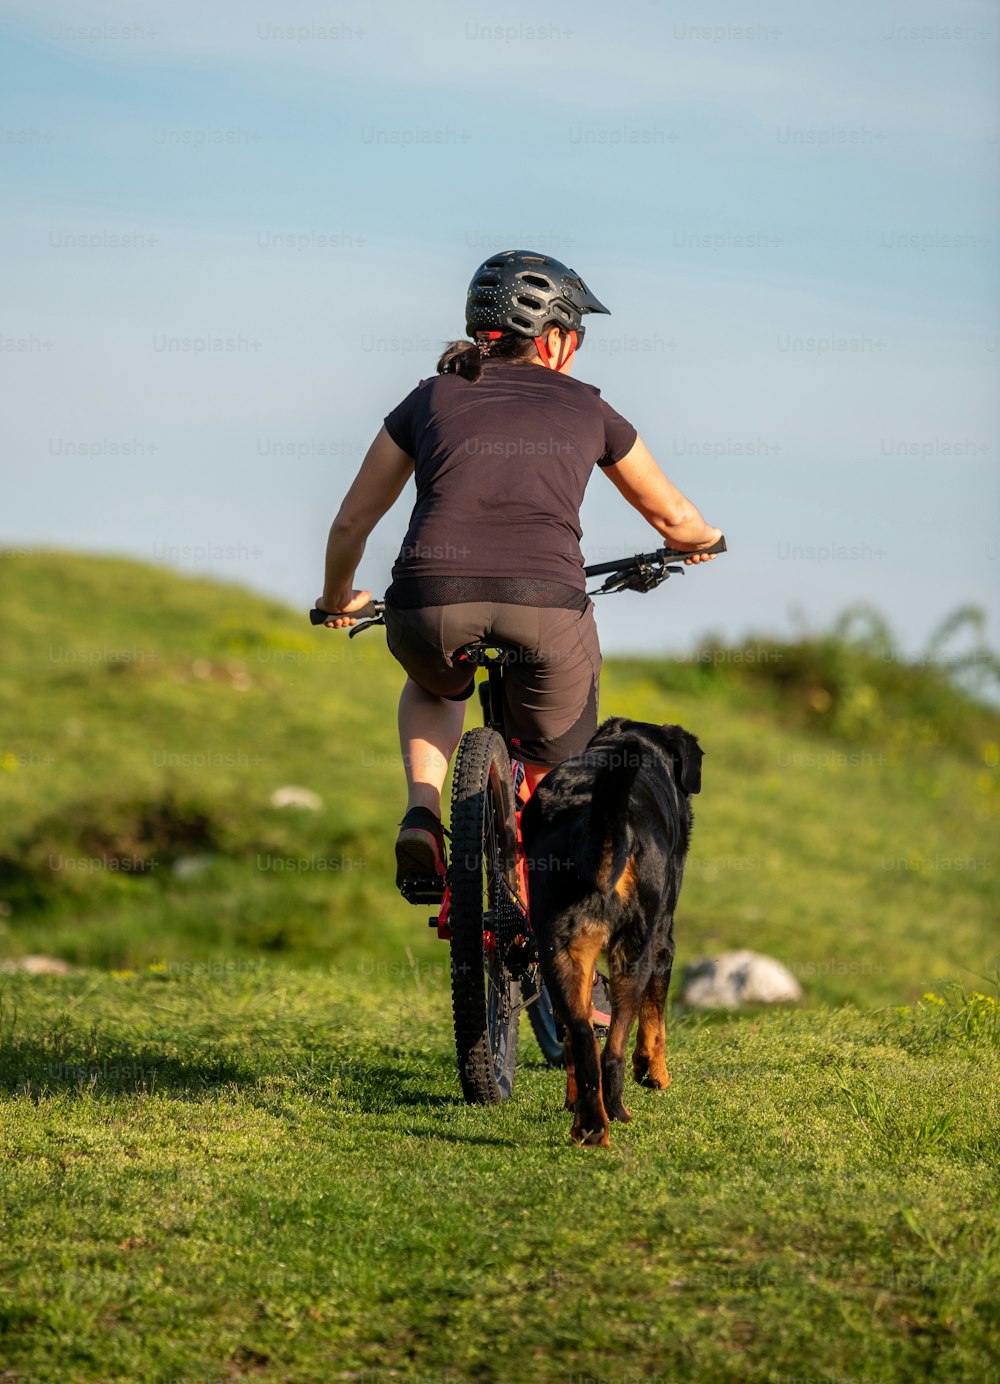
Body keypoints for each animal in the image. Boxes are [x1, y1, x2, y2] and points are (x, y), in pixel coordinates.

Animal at [522, 719, 705, 1140]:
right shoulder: (663, 943)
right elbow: (655, 1021)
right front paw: (654, 1074)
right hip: (634, 951)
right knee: (613, 1048)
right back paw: (617, 1110)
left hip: (560, 951)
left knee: (582, 1038)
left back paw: (589, 1123)